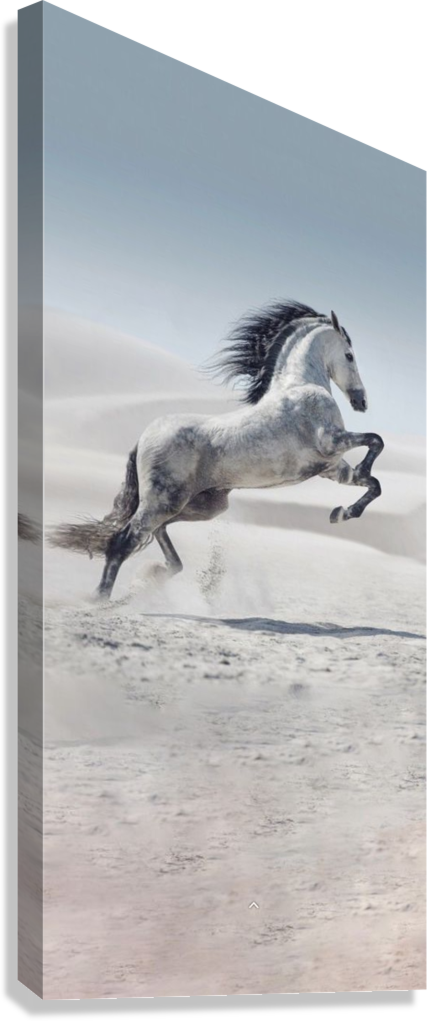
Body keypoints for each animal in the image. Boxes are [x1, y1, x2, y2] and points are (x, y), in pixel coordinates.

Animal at [50, 299, 384, 599]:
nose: (362, 401)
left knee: (157, 532)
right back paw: (101, 597)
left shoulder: (331, 467)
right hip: (164, 501)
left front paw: (341, 513)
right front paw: (348, 501)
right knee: (124, 540)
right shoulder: (331, 441)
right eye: (349, 355)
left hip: (201, 505)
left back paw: (154, 577)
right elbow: (376, 441)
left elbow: (373, 484)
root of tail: (143, 438)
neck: (300, 386)